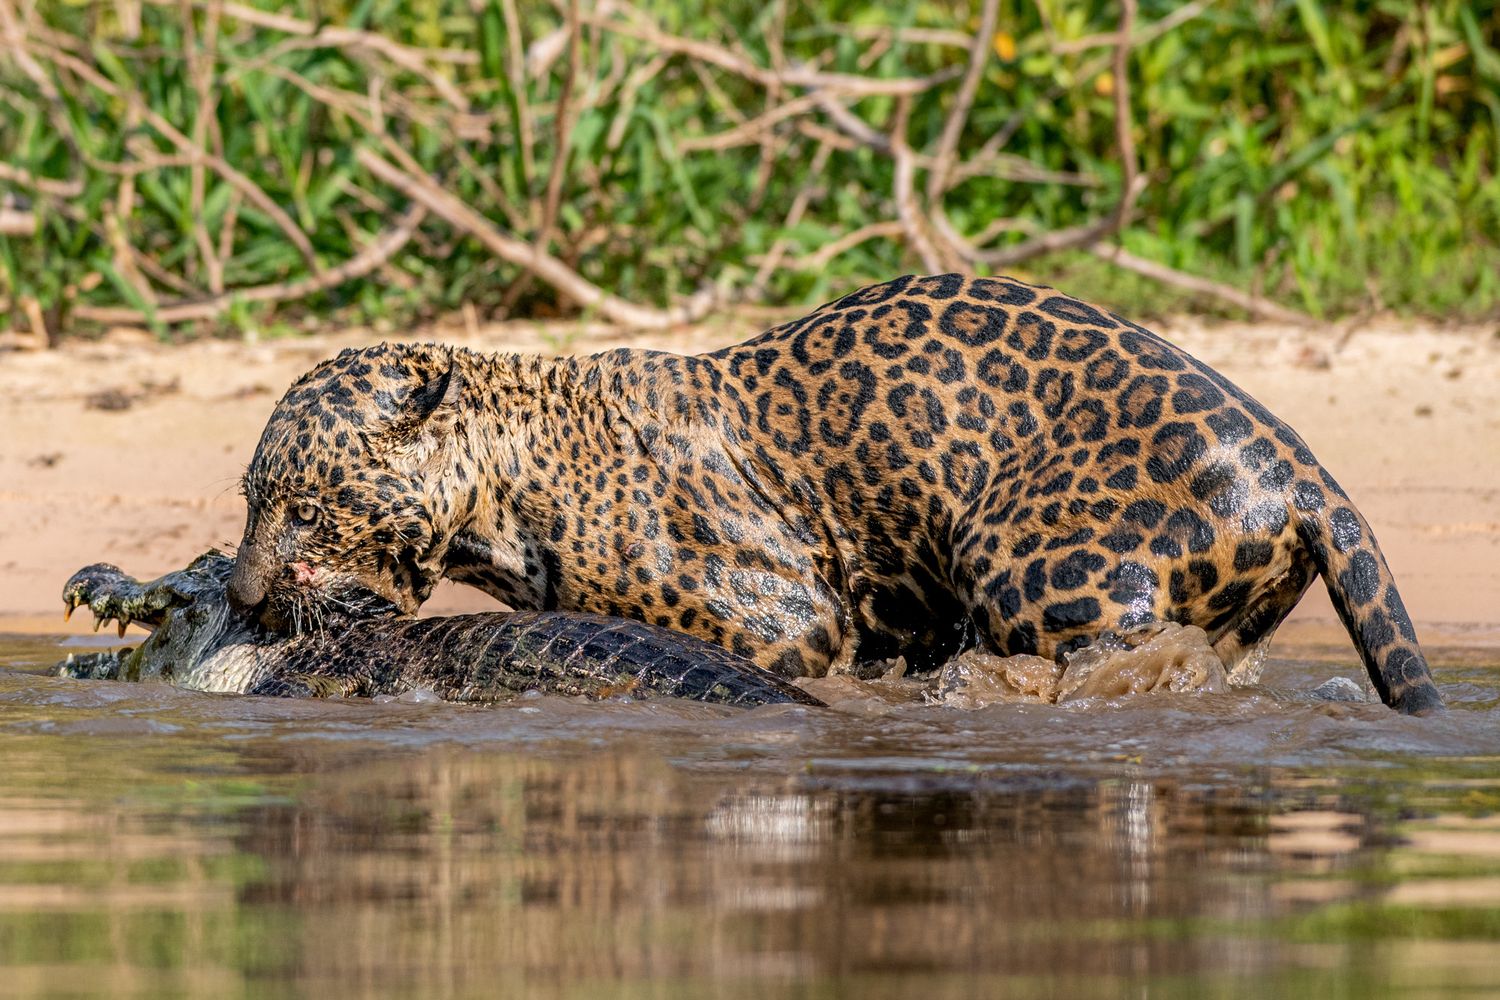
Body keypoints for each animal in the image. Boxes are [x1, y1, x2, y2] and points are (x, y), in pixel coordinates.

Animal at [228, 273, 1444, 714]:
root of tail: (1298, 466)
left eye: (304, 504)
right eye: (250, 497)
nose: (240, 598)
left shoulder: (788, 615)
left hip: (1023, 556)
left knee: (1109, 656)